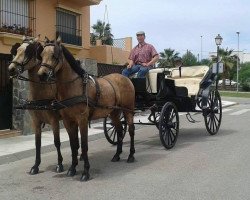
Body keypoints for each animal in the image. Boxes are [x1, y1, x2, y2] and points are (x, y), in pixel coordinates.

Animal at [8, 36, 64, 174]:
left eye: (28, 51)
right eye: (17, 50)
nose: (11, 69)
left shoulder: (54, 121)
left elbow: (57, 142)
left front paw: (60, 164)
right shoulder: (36, 121)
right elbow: (37, 143)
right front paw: (36, 166)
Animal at [37, 37, 136, 181]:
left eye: (54, 55)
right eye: (41, 55)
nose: (41, 75)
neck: (73, 86)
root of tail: (126, 78)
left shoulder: (82, 119)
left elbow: (84, 145)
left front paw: (85, 172)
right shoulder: (68, 121)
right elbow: (73, 144)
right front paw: (72, 168)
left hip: (128, 110)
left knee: (131, 130)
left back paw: (131, 155)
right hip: (114, 112)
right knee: (118, 130)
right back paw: (117, 155)